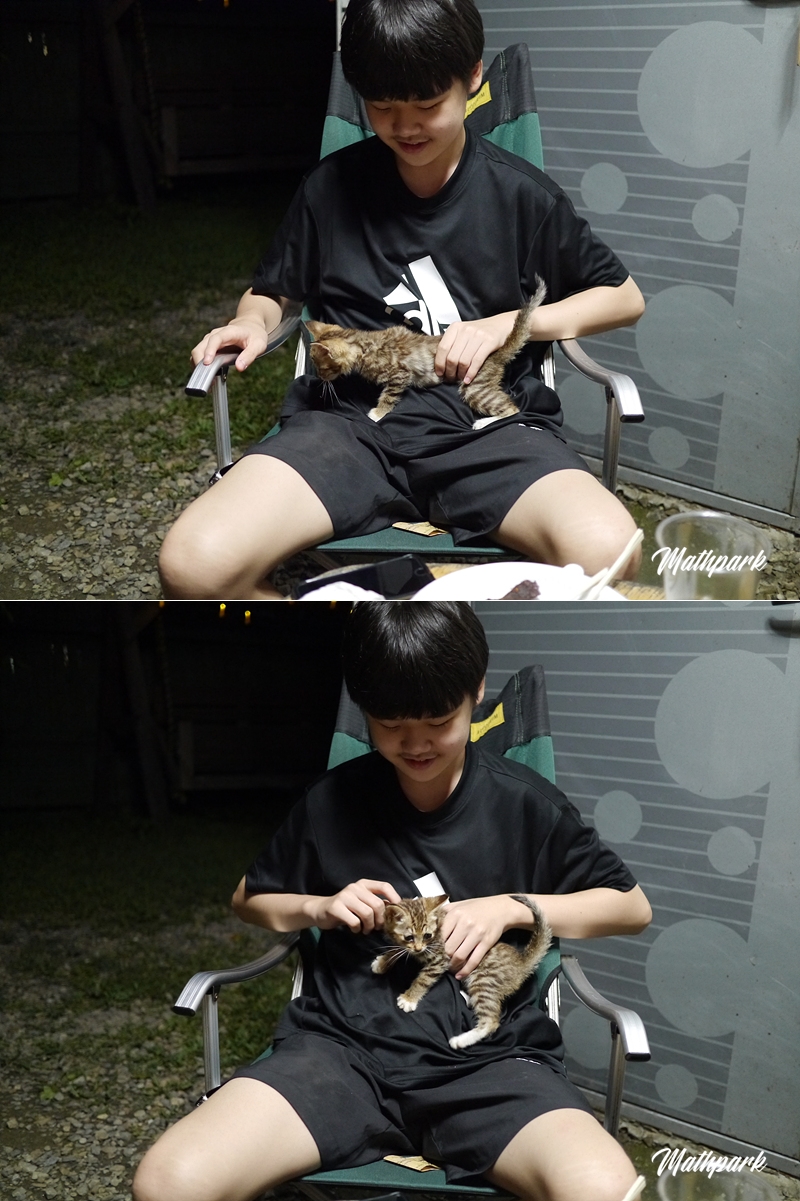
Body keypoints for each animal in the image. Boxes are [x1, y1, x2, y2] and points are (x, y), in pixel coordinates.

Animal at [306, 278, 547, 423]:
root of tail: (496, 353)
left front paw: (377, 413)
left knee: (512, 409)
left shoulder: (399, 375)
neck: (363, 344)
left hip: (475, 386)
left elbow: (389, 396)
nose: (319, 378)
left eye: (322, 369)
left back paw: (483, 423)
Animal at [371, 893, 552, 1050]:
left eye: (428, 935)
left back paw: (460, 1040)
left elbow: (423, 979)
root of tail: (521, 963)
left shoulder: (440, 959)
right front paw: (382, 962)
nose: (418, 948)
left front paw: (409, 998)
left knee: (491, 1021)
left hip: (484, 981)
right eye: (409, 937)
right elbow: (397, 951)